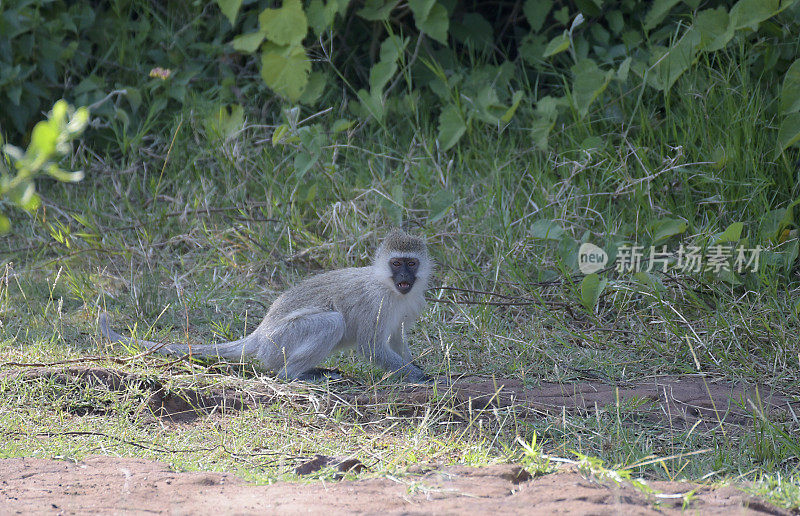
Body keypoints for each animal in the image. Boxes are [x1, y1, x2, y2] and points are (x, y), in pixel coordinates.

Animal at [101, 228, 438, 380]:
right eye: (396, 263)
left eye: (411, 263)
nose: (405, 276)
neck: (391, 289)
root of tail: (260, 334)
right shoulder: (375, 303)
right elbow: (372, 348)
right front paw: (419, 376)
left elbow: (395, 341)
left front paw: (415, 368)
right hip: (279, 343)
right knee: (331, 323)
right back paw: (298, 376)